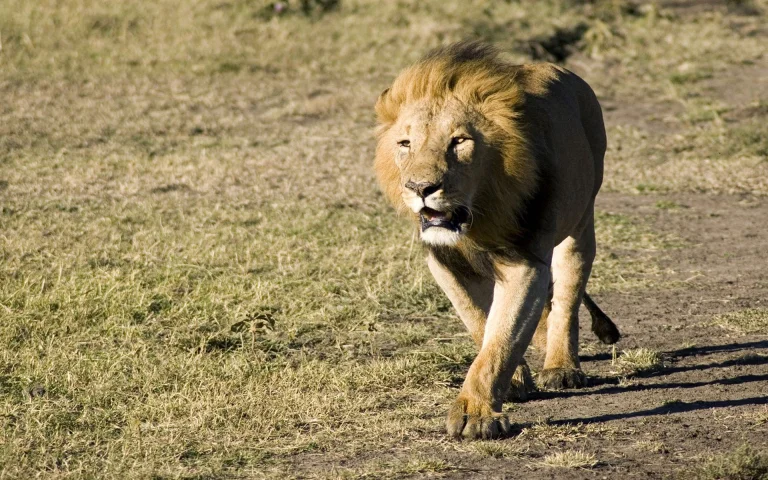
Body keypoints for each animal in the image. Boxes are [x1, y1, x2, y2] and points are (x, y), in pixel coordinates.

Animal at [373, 41, 620, 440]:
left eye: (459, 141)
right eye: (405, 143)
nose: (420, 188)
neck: (476, 219)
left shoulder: (525, 261)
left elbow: (501, 337)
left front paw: (475, 414)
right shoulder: (443, 261)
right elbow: (478, 320)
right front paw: (516, 378)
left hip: (580, 222)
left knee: (567, 296)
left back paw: (561, 367)